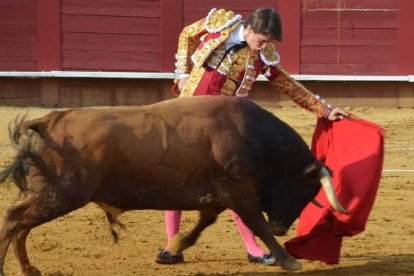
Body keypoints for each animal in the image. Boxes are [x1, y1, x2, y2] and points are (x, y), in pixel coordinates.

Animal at [0, 96, 346, 274]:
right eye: (305, 190)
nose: (282, 228)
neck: (251, 136)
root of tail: (47, 121)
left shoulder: (218, 195)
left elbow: (204, 224)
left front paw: (177, 246)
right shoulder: (239, 189)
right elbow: (255, 223)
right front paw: (289, 260)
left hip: (49, 193)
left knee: (21, 225)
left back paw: (29, 269)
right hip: (62, 193)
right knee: (15, 220)